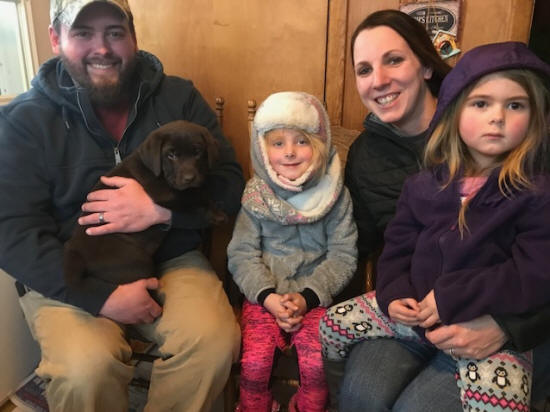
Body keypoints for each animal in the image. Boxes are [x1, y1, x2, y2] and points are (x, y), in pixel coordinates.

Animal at [64, 120, 226, 291]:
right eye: (171, 155)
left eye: (197, 152)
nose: (189, 178)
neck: (156, 171)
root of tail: (75, 252)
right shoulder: (162, 193)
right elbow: (192, 195)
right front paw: (215, 213)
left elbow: (197, 190)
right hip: (137, 260)